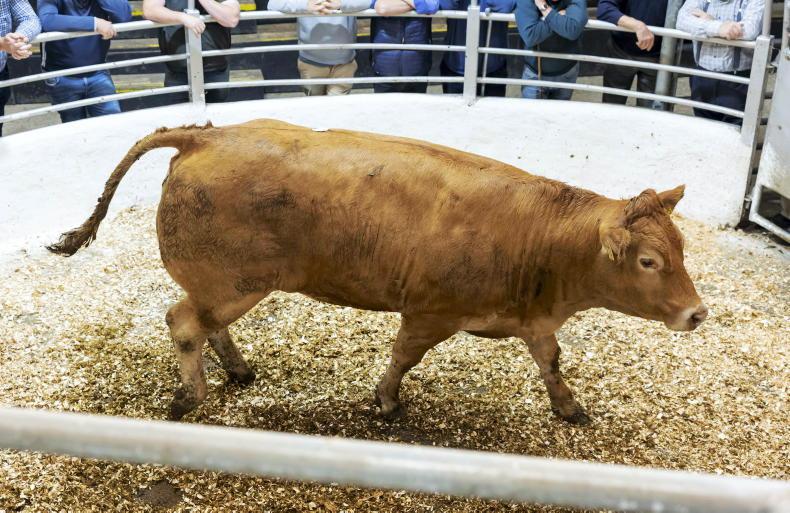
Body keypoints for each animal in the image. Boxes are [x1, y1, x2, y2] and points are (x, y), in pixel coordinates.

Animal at [49, 119, 707, 424]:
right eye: (649, 261)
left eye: (680, 248)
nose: (697, 313)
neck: (540, 237)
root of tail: (207, 135)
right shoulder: (431, 311)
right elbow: (403, 357)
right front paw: (387, 401)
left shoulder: (534, 319)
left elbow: (550, 361)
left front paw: (568, 407)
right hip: (235, 281)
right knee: (184, 321)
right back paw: (192, 395)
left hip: (225, 284)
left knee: (206, 323)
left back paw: (237, 370)